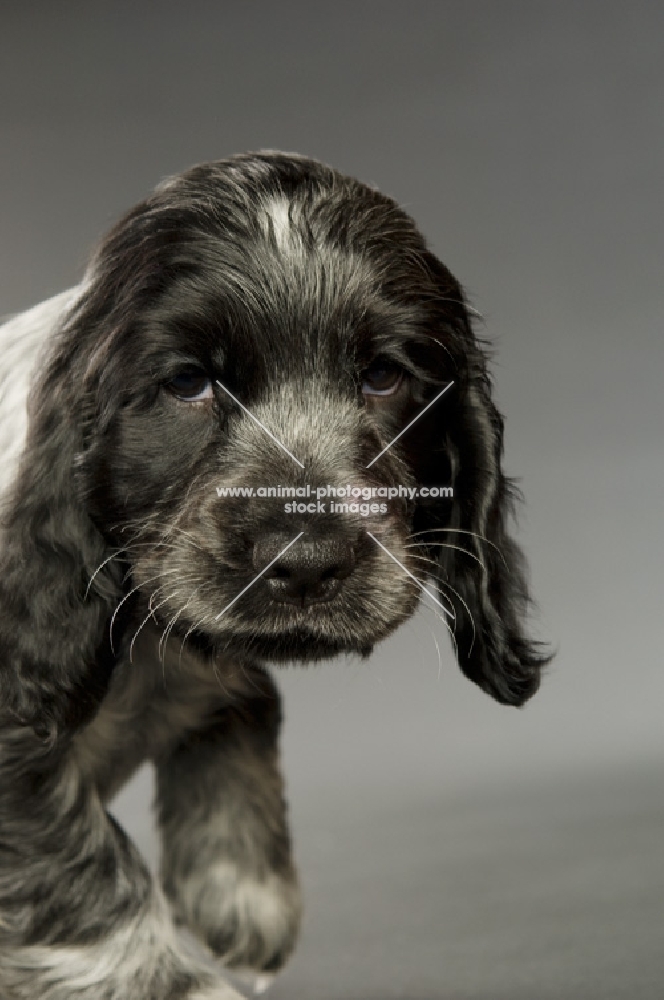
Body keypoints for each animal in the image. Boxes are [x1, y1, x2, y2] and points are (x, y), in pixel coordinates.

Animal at [0, 150, 548, 1000]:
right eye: (188, 385)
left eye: (383, 376)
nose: (307, 562)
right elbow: (93, 881)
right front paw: (189, 979)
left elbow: (242, 710)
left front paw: (243, 902)